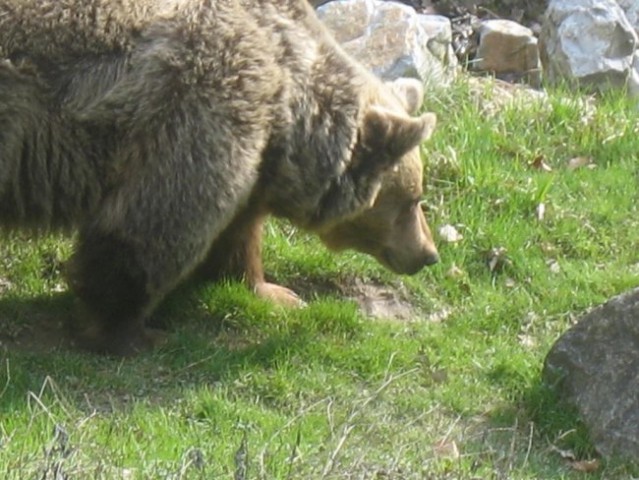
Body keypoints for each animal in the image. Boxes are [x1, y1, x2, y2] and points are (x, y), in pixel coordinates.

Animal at [0, 0, 440, 352]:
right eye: (413, 200)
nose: (428, 254)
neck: (287, 110)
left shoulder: (254, 157)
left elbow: (237, 233)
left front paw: (275, 292)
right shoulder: (204, 106)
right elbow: (148, 228)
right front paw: (131, 331)